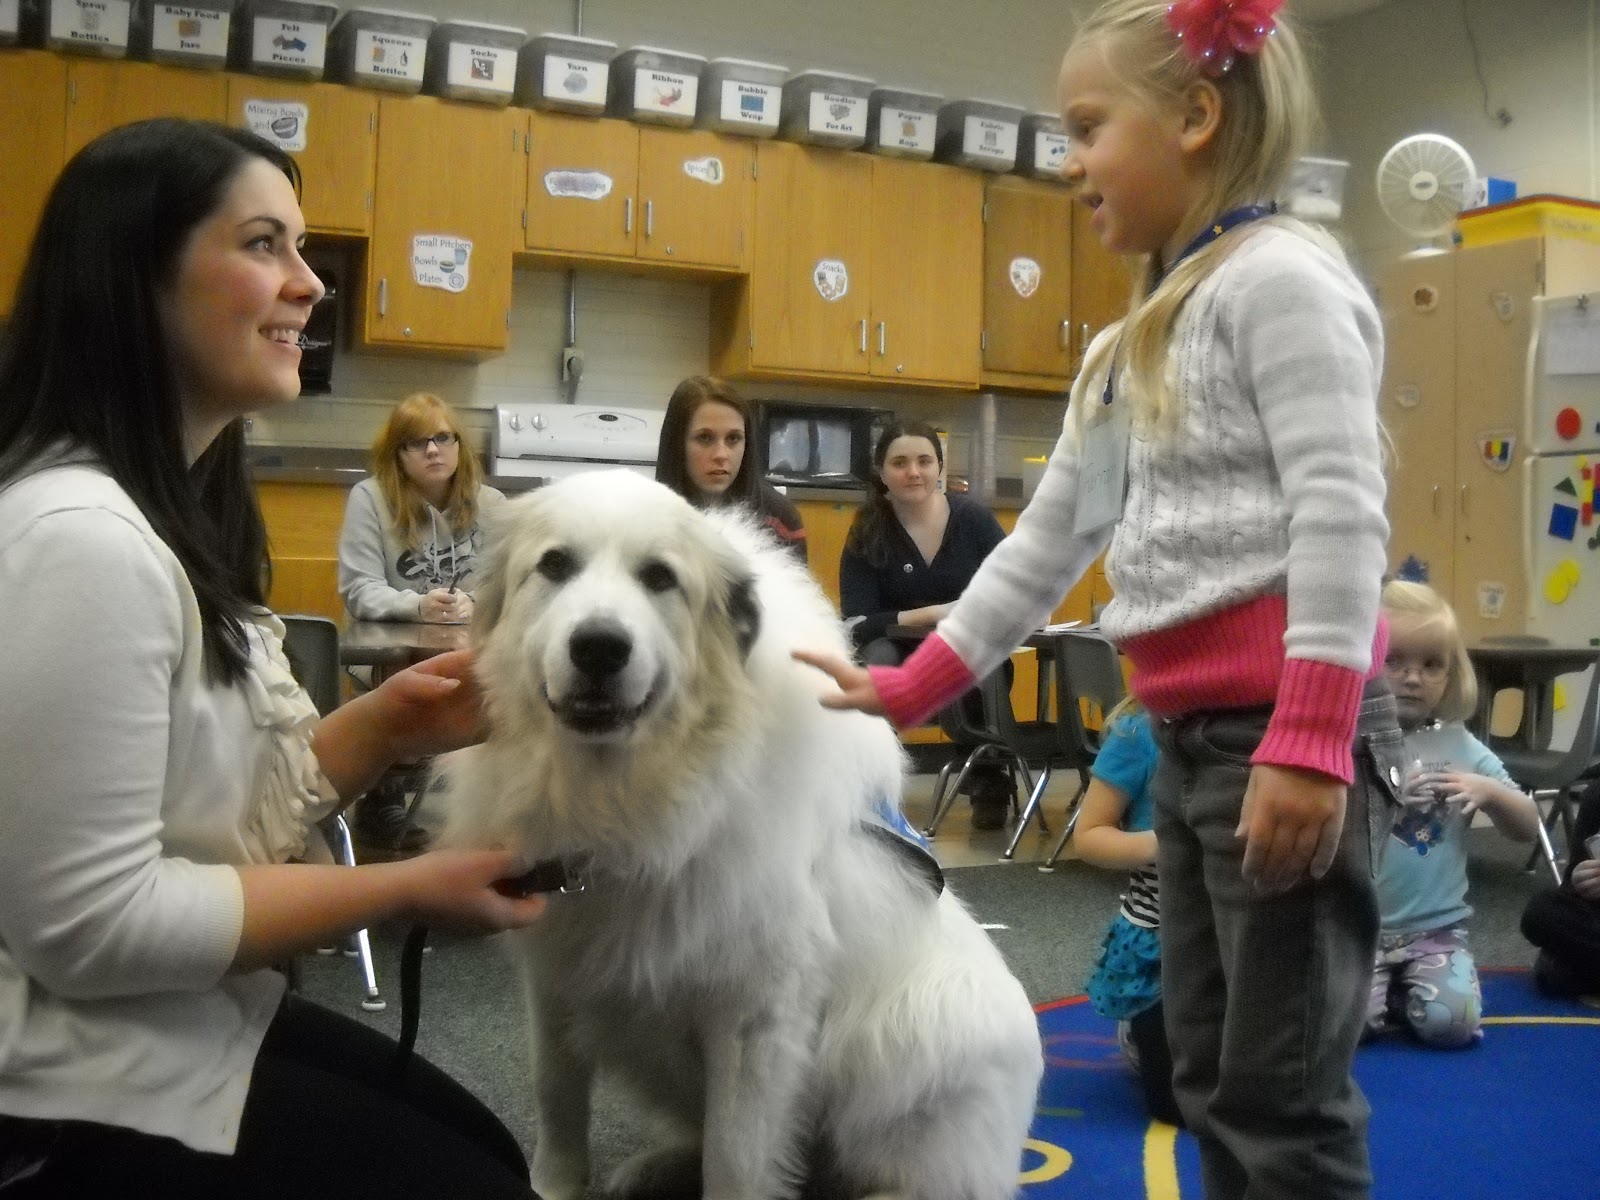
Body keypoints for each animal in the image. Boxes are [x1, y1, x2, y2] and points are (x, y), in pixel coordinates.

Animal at [444, 473, 1043, 1200]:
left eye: (659, 577)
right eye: (555, 566)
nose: (599, 647)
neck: (628, 794)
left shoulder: (755, 1021)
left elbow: (737, 1156)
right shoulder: (554, 978)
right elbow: (556, 1098)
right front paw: (554, 1187)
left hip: (922, 1045)